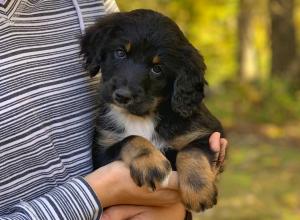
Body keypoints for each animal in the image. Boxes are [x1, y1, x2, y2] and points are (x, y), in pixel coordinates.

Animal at [81, 9, 224, 213]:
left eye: (157, 69)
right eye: (120, 53)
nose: (122, 96)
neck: (143, 116)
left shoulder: (206, 132)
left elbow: (191, 151)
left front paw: (199, 190)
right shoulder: (102, 151)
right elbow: (131, 138)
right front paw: (151, 164)